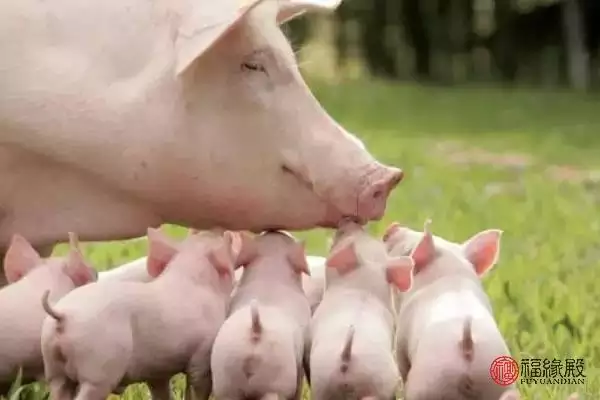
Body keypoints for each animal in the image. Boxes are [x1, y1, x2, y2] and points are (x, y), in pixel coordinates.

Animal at [386, 222, 512, 400]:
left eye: (407, 251)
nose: (393, 225)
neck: (451, 276)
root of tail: (467, 346)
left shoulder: (402, 336)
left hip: (428, 385)